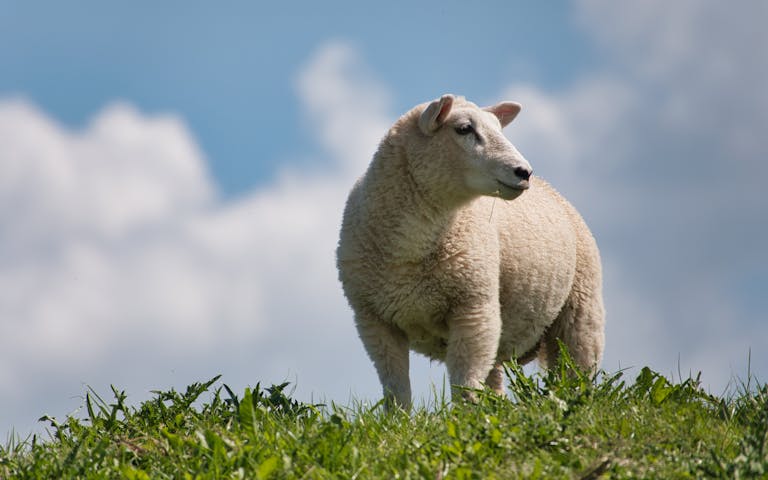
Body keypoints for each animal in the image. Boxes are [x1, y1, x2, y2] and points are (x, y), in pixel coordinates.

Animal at [337, 94, 605, 409]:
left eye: (499, 129)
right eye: (464, 129)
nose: (524, 172)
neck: (410, 250)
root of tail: (550, 188)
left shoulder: (474, 307)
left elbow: (465, 383)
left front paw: (465, 418)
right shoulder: (374, 320)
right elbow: (396, 388)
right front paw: (399, 418)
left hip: (580, 312)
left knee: (576, 372)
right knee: (496, 380)